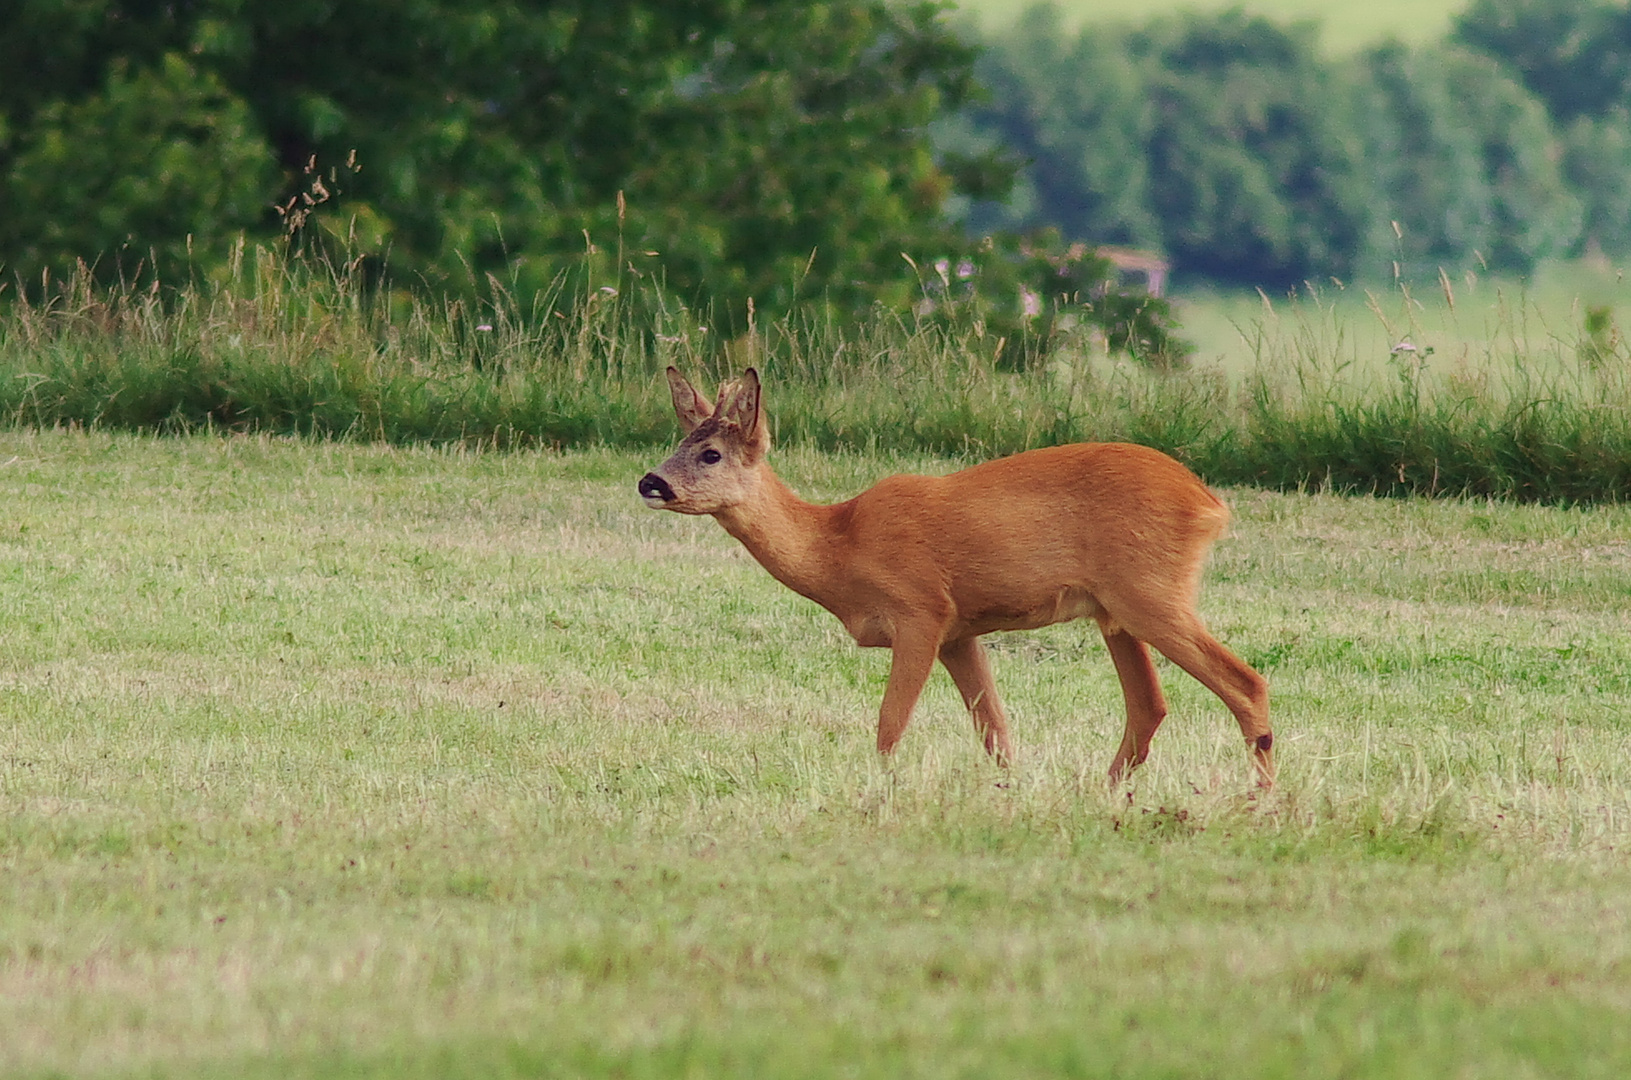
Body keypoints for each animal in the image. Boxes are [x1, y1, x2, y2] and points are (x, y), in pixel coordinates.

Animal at [636, 370, 1272, 786]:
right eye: (677, 443)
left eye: (712, 454)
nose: (650, 482)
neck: (838, 547)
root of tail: (1209, 504)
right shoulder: (960, 633)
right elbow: (995, 732)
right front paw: (1010, 792)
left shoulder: (921, 609)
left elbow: (889, 723)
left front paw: (879, 791)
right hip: (1114, 611)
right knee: (1149, 705)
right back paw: (1103, 791)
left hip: (1150, 589)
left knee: (1244, 681)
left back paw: (1261, 796)